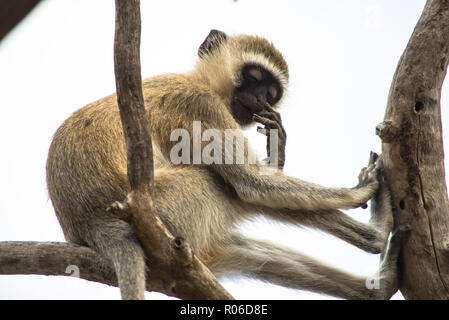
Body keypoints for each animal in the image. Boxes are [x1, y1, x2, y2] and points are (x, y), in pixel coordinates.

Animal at [46, 30, 400, 300]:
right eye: (254, 76)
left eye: (271, 92)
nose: (261, 98)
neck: (200, 81)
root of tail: (94, 223)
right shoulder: (200, 104)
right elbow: (251, 184)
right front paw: (359, 190)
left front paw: (277, 149)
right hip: (173, 206)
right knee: (232, 188)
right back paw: (376, 235)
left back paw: (376, 283)